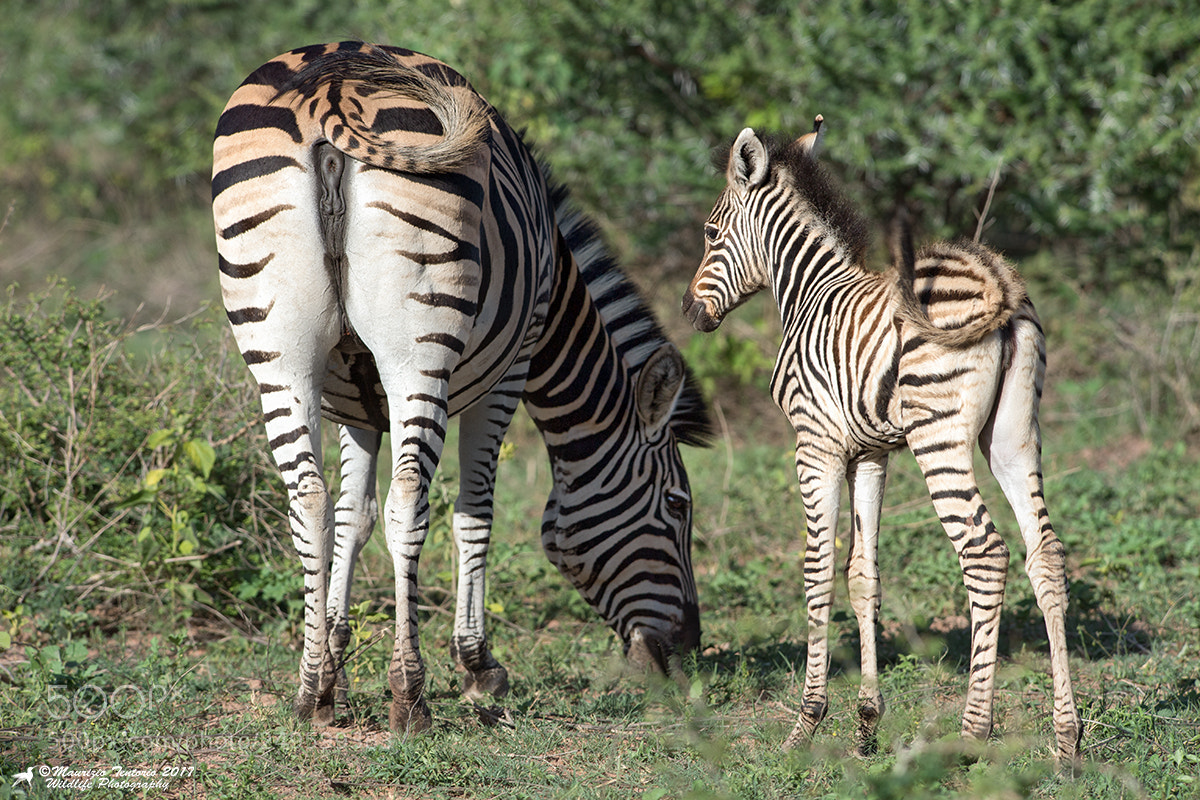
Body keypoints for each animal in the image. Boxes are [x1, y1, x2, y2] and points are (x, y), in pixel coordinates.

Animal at [212, 41, 712, 734]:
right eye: (677, 505)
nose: (690, 646)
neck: (557, 288)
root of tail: (330, 86)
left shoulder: (355, 396)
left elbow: (351, 518)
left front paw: (335, 661)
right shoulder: (512, 369)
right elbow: (474, 514)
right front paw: (478, 666)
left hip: (278, 351)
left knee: (307, 501)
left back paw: (311, 692)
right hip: (418, 344)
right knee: (408, 502)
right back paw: (410, 697)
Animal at [681, 118, 1081, 766]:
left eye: (713, 233)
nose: (690, 312)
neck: (809, 291)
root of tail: (999, 282)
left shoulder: (814, 446)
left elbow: (818, 572)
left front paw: (807, 723)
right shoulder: (868, 454)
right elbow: (863, 575)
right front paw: (866, 722)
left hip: (939, 438)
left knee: (984, 552)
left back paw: (973, 733)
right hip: (1013, 435)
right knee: (1043, 552)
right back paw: (1066, 738)